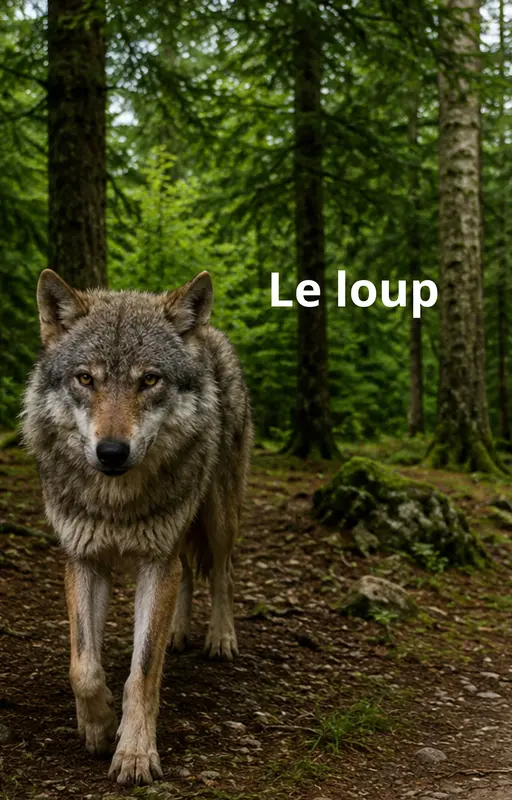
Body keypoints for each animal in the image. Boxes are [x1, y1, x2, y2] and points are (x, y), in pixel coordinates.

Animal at [22, 269, 252, 786]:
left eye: (149, 380)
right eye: (86, 378)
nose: (111, 452)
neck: (117, 503)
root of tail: (209, 332)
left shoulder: (155, 561)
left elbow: (142, 672)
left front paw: (134, 754)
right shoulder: (84, 560)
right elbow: (84, 667)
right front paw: (99, 726)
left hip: (217, 516)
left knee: (222, 573)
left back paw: (219, 638)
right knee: (189, 575)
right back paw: (179, 633)